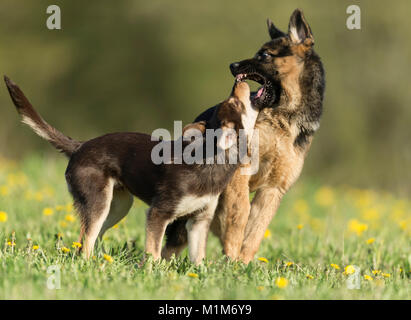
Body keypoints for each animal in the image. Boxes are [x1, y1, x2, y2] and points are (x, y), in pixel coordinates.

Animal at [4, 76, 258, 264]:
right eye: (235, 103)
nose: (238, 82)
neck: (210, 159)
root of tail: (79, 146)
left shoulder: (199, 221)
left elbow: (198, 258)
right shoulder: (158, 214)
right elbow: (154, 252)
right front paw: (153, 273)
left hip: (117, 206)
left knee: (92, 237)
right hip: (98, 203)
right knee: (85, 242)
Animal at [163, 8, 326, 264]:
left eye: (265, 55)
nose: (232, 65)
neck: (282, 119)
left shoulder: (273, 189)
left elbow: (256, 227)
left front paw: (242, 262)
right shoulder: (240, 172)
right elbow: (240, 212)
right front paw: (231, 254)